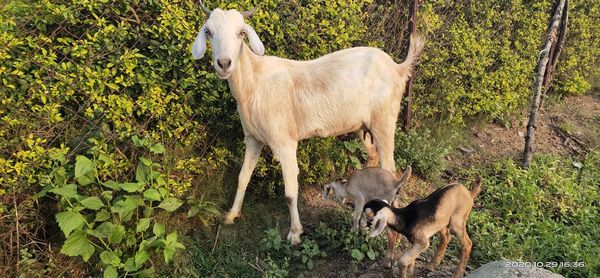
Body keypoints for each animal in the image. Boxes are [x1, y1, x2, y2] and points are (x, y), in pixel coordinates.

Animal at [193, 1, 426, 244]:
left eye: (241, 33)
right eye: (208, 32)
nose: (224, 63)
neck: (254, 83)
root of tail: (398, 67)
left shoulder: (284, 142)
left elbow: (290, 192)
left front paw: (295, 233)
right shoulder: (253, 138)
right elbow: (242, 177)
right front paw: (231, 215)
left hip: (384, 120)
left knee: (390, 167)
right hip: (361, 126)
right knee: (372, 155)